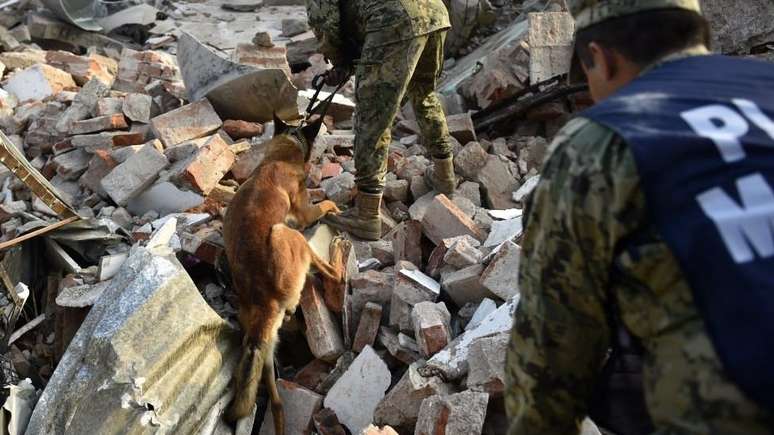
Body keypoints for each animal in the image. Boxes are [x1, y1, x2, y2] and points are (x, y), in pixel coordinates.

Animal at [221, 115, 348, 432]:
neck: (278, 157)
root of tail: (264, 302)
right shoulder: (304, 214)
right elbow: (323, 204)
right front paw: (334, 205)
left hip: (264, 357)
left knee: (277, 405)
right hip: (290, 234)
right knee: (334, 274)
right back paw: (339, 253)